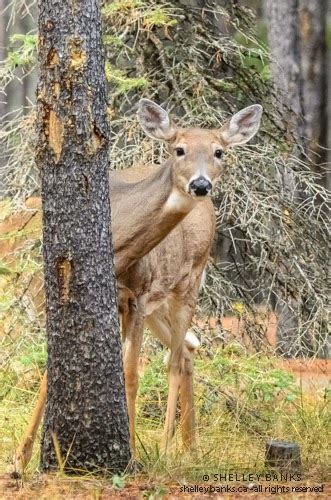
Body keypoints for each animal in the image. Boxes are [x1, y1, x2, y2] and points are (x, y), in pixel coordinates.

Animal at [13, 98, 264, 472]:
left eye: (219, 151)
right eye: (179, 149)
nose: (200, 185)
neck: (120, 250)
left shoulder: (139, 297)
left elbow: (130, 375)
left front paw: (130, 451)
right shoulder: (82, 295)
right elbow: (52, 370)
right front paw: (20, 458)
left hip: (187, 284)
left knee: (175, 358)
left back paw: (167, 448)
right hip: (159, 305)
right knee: (188, 348)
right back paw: (190, 446)